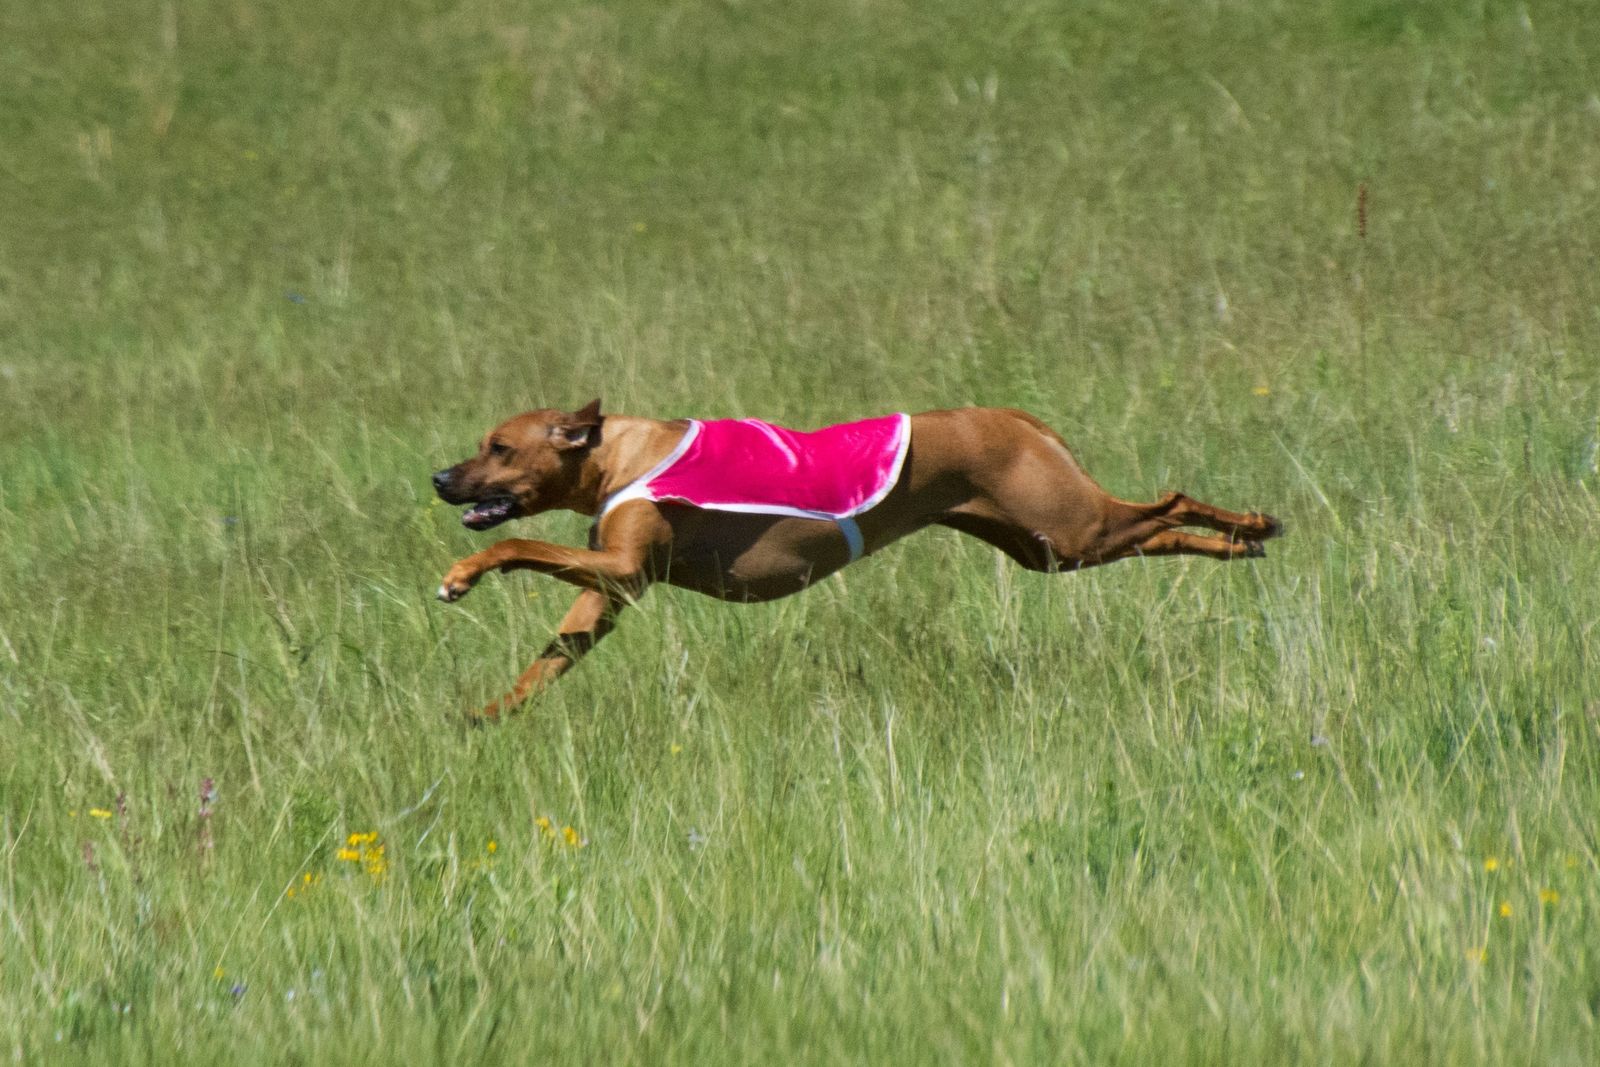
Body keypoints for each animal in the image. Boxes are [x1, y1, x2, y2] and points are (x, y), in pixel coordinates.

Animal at [433, 400, 1282, 720]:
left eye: (499, 447)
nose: (439, 477)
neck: (622, 456)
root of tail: (1010, 415)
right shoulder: (611, 591)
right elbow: (549, 659)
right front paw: (488, 715)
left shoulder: (621, 566)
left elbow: (513, 542)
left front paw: (463, 574)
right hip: (1047, 547)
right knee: (1161, 526)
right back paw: (1243, 538)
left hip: (1070, 527)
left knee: (1170, 502)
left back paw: (1248, 523)